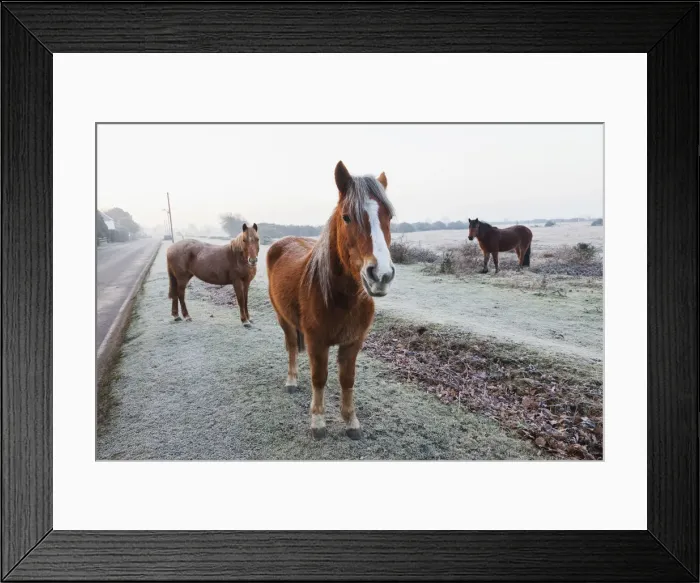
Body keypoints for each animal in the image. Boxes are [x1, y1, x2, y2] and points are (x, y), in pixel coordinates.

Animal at [266, 161, 395, 440]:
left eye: (389, 217)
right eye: (346, 216)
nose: (381, 275)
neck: (341, 299)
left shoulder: (353, 342)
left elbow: (347, 379)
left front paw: (351, 421)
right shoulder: (317, 342)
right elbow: (319, 378)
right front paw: (318, 421)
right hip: (283, 319)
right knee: (291, 346)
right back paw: (292, 380)